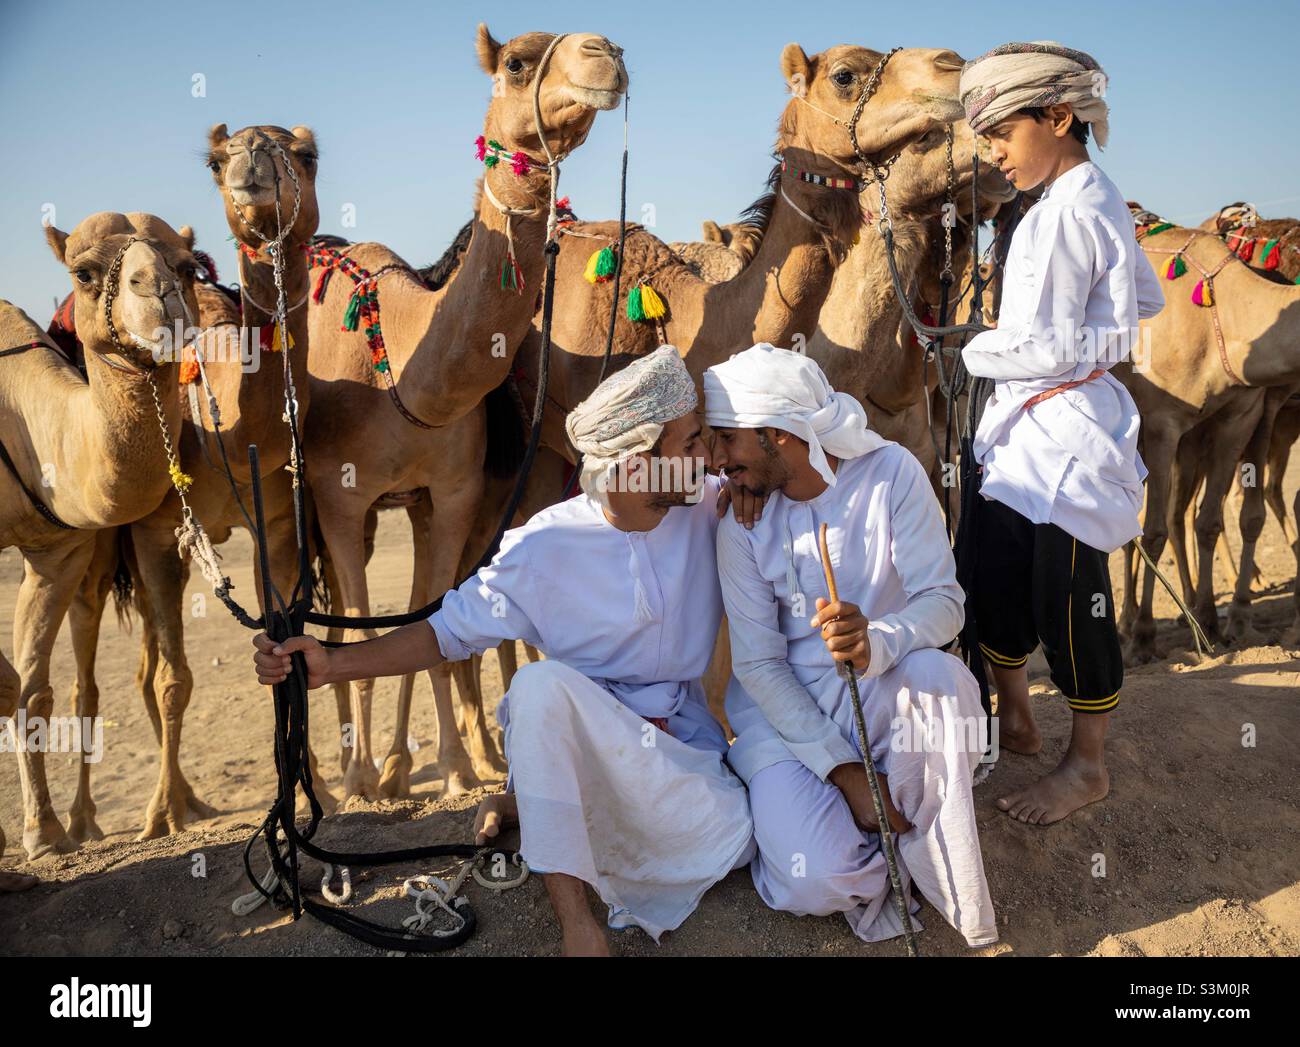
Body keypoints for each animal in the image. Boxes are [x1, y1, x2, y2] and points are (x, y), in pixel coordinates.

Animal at [1, 213, 199, 867]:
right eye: (83, 274)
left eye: (188, 267)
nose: (159, 291)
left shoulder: (59, 551)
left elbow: (32, 689)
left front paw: (43, 834)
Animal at [63, 125, 323, 844]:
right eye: (215, 160)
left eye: (307, 154)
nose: (251, 162)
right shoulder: (156, 537)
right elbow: (174, 681)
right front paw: (160, 813)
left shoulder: (277, 525)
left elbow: (286, 642)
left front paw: (320, 787)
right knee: (120, 666)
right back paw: (99, 818)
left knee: (143, 666)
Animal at [303, 25, 627, 802]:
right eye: (516, 62)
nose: (606, 53)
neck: (401, 373)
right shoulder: (338, 497)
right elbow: (367, 629)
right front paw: (361, 778)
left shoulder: (450, 493)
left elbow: (434, 623)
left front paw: (451, 768)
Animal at [1114, 214, 1300, 661]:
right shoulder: (1162, 424)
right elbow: (1154, 531)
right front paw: (1144, 636)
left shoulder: (1238, 419)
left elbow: (1210, 522)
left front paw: (1212, 625)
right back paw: (1126, 626)